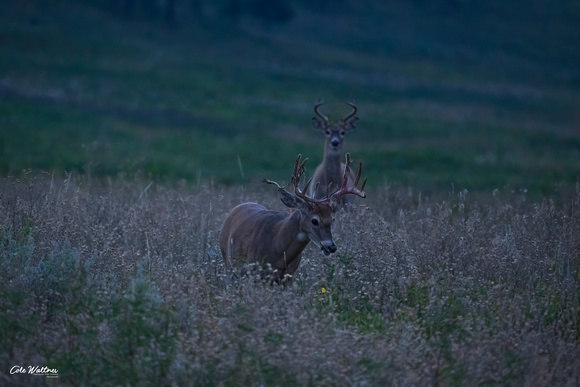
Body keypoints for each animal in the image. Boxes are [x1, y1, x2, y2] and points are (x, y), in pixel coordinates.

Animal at [220, 153, 364, 284]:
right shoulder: (253, 271)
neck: (277, 248)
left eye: (332, 219)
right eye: (314, 220)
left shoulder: (288, 277)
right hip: (228, 264)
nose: (331, 247)